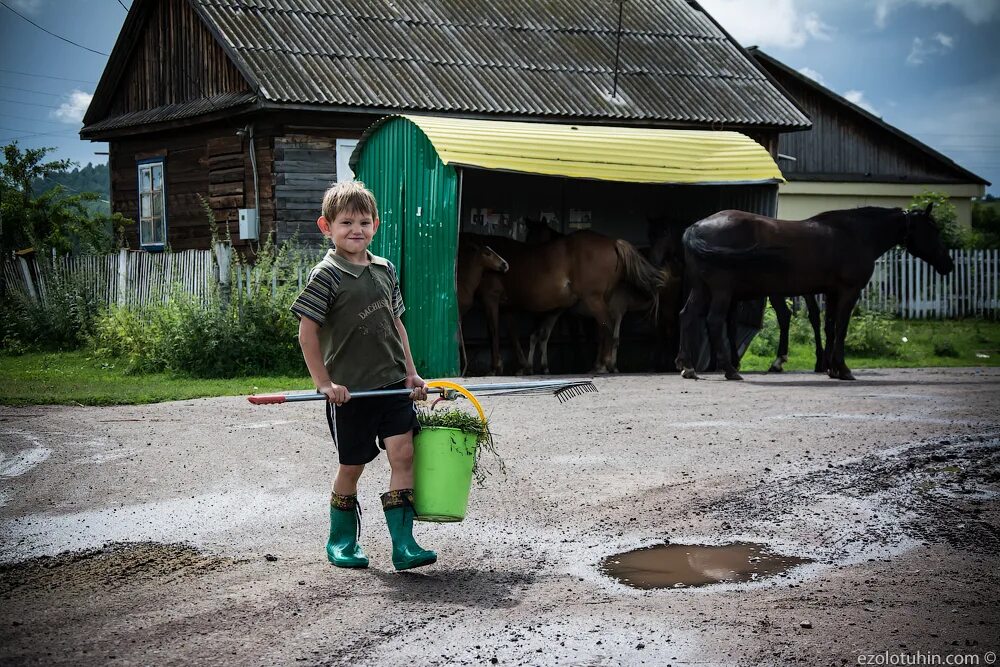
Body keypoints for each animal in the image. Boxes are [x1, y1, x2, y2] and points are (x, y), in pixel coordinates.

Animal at [464, 230, 668, 376]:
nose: (505, 266)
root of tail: (613, 242)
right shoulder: (508, 307)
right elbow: (513, 335)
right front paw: (523, 366)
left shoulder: (491, 299)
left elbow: (494, 332)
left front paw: (495, 368)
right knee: (603, 329)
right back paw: (600, 365)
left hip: (594, 299)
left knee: (608, 326)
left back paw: (605, 365)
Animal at [680, 204, 952, 380]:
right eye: (933, 229)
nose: (948, 264)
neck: (856, 234)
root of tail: (695, 228)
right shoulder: (848, 292)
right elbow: (841, 328)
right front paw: (842, 369)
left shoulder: (831, 292)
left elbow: (830, 327)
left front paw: (830, 367)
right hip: (722, 291)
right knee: (714, 321)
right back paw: (729, 369)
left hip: (702, 289)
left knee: (687, 315)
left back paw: (688, 366)